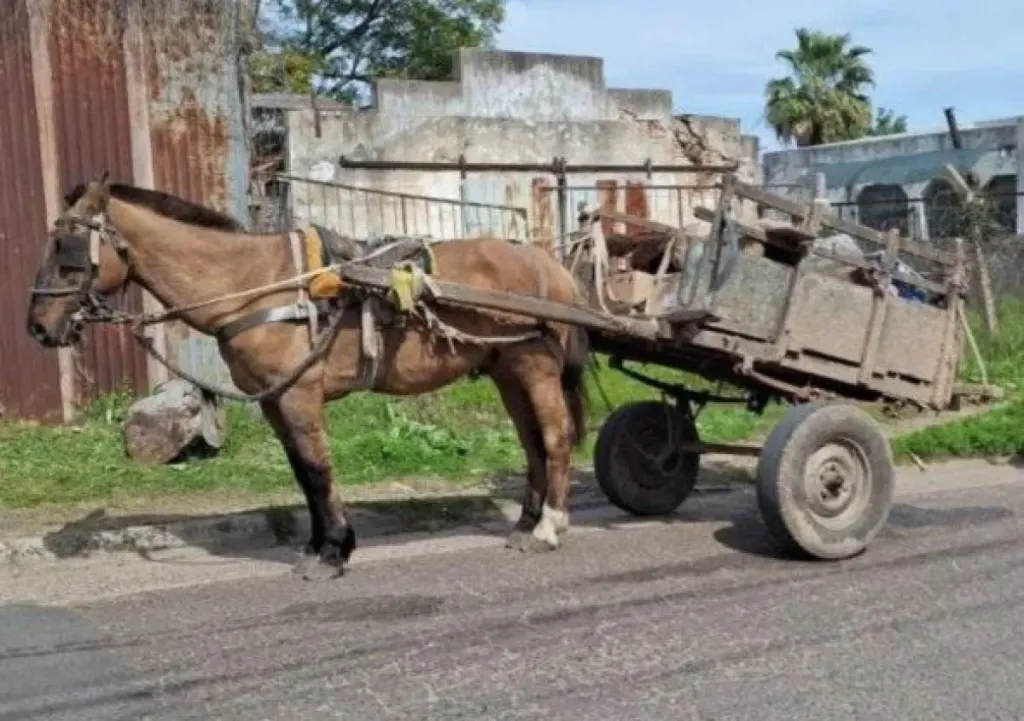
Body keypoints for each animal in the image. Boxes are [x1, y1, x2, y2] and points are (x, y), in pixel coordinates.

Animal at [26, 173, 590, 580]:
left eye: (67, 248)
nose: (38, 327)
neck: (259, 285)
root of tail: (551, 265)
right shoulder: (273, 399)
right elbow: (301, 473)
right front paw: (317, 546)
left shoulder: (299, 394)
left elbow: (318, 469)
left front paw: (335, 551)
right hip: (506, 370)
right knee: (533, 445)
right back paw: (526, 524)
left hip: (534, 367)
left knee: (556, 438)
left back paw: (550, 527)